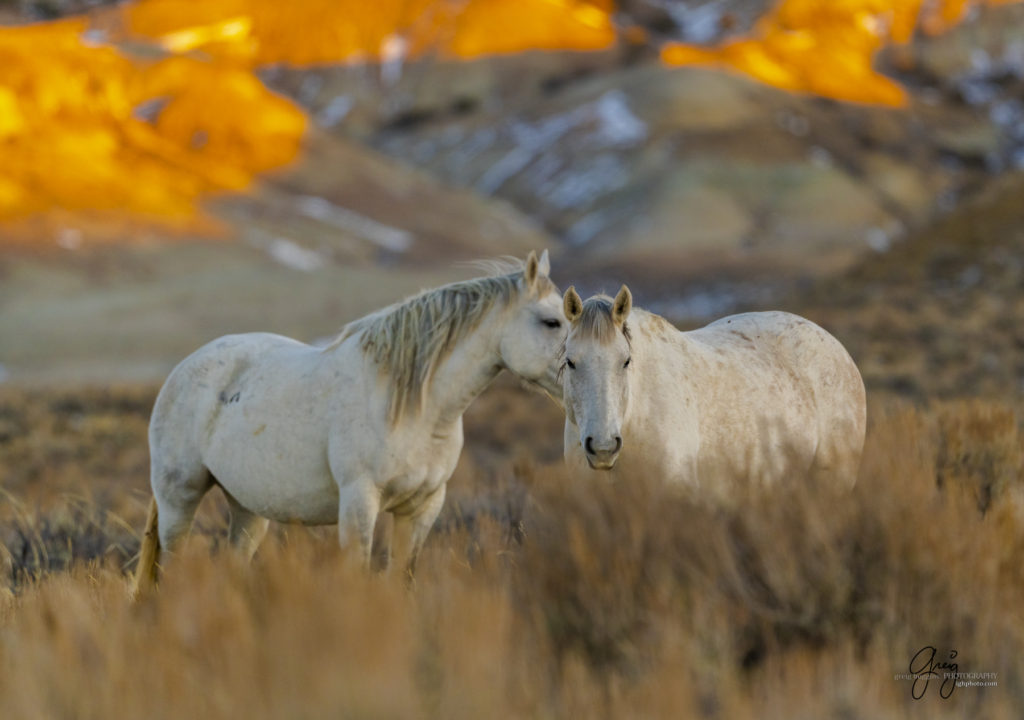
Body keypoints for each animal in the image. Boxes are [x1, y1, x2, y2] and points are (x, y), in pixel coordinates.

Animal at [131, 250, 565, 594]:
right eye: (552, 322)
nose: (578, 373)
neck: (414, 406)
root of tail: (183, 368)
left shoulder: (424, 507)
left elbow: (402, 578)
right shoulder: (360, 500)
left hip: (247, 508)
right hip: (179, 498)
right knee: (171, 568)